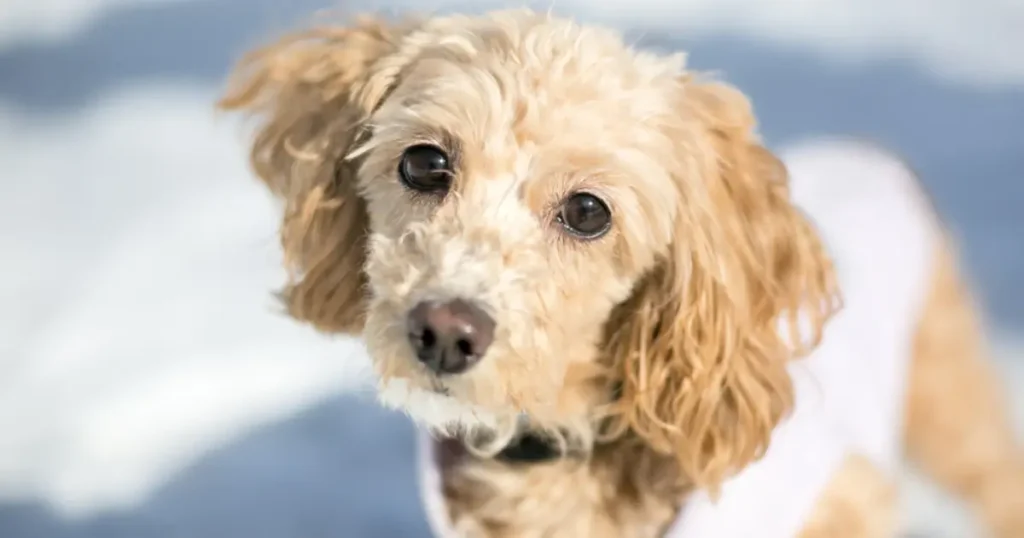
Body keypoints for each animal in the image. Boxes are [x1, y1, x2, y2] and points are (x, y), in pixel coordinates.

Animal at [218, 9, 1024, 536]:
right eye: (423, 162)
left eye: (587, 211)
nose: (445, 331)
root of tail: (867, 148)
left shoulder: (839, 500)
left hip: (949, 400)